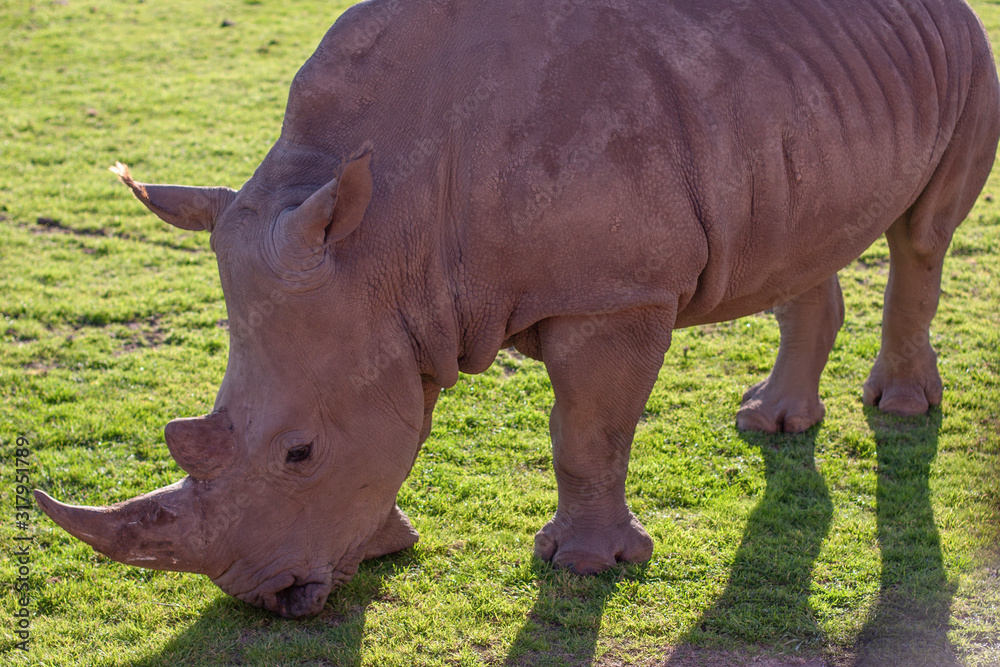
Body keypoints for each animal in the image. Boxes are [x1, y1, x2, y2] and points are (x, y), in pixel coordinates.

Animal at [35, 0, 999, 618]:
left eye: (299, 453)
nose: (264, 599)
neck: (388, 231)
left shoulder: (614, 292)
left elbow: (586, 433)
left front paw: (584, 565)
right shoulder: (394, 307)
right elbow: (410, 419)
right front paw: (382, 546)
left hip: (965, 50)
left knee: (923, 235)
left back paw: (900, 409)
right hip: (807, 86)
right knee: (804, 230)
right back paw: (770, 422)